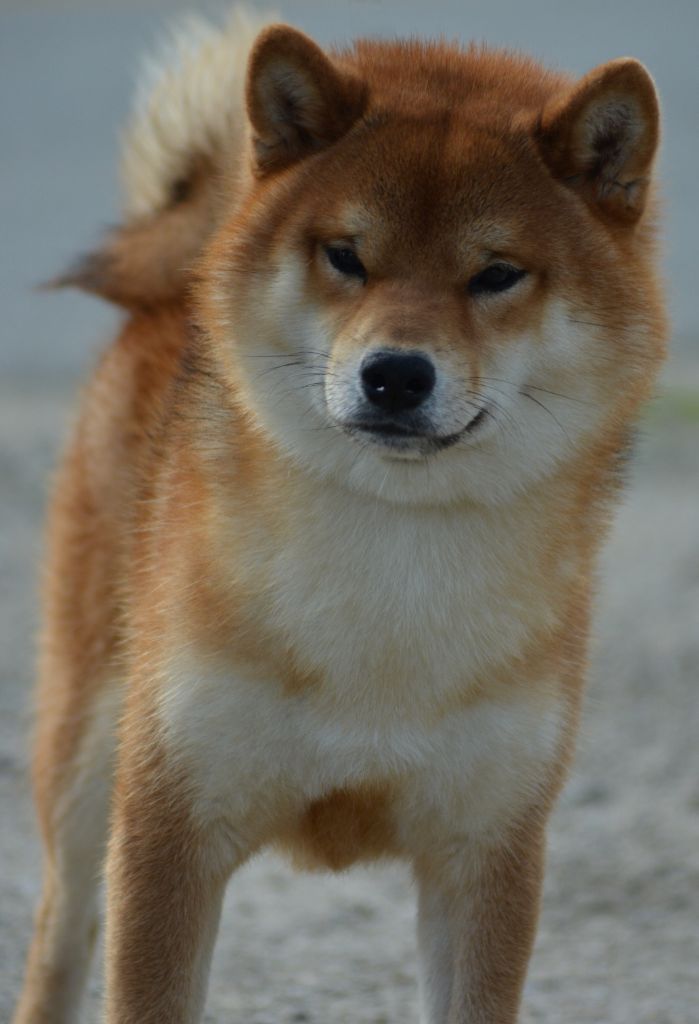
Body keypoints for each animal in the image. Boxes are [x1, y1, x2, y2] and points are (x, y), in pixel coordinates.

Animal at [13, 8, 666, 1023]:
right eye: (347, 256)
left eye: (496, 274)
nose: (395, 373)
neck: (390, 573)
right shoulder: (167, 830)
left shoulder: (488, 852)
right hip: (86, 763)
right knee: (59, 935)